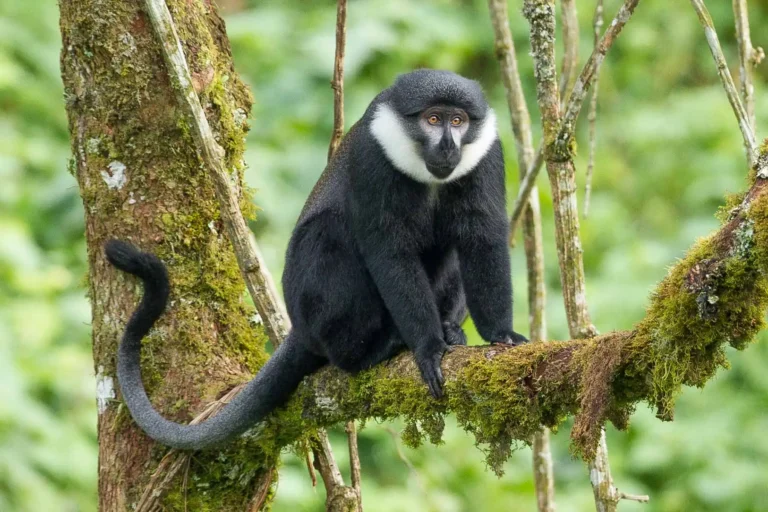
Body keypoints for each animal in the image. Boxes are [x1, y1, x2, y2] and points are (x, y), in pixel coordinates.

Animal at [105, 68, 528, 450]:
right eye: (433, 119)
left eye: (459, 121)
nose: (448, 147)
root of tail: (300, 328)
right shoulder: (372, 157)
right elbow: (389, 250)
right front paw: (427, 347)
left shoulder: (487, 154)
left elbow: (481, 237)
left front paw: (501, 335)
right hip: (314, 306)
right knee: (329, 230)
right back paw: (368, 351)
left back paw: (448, 328)